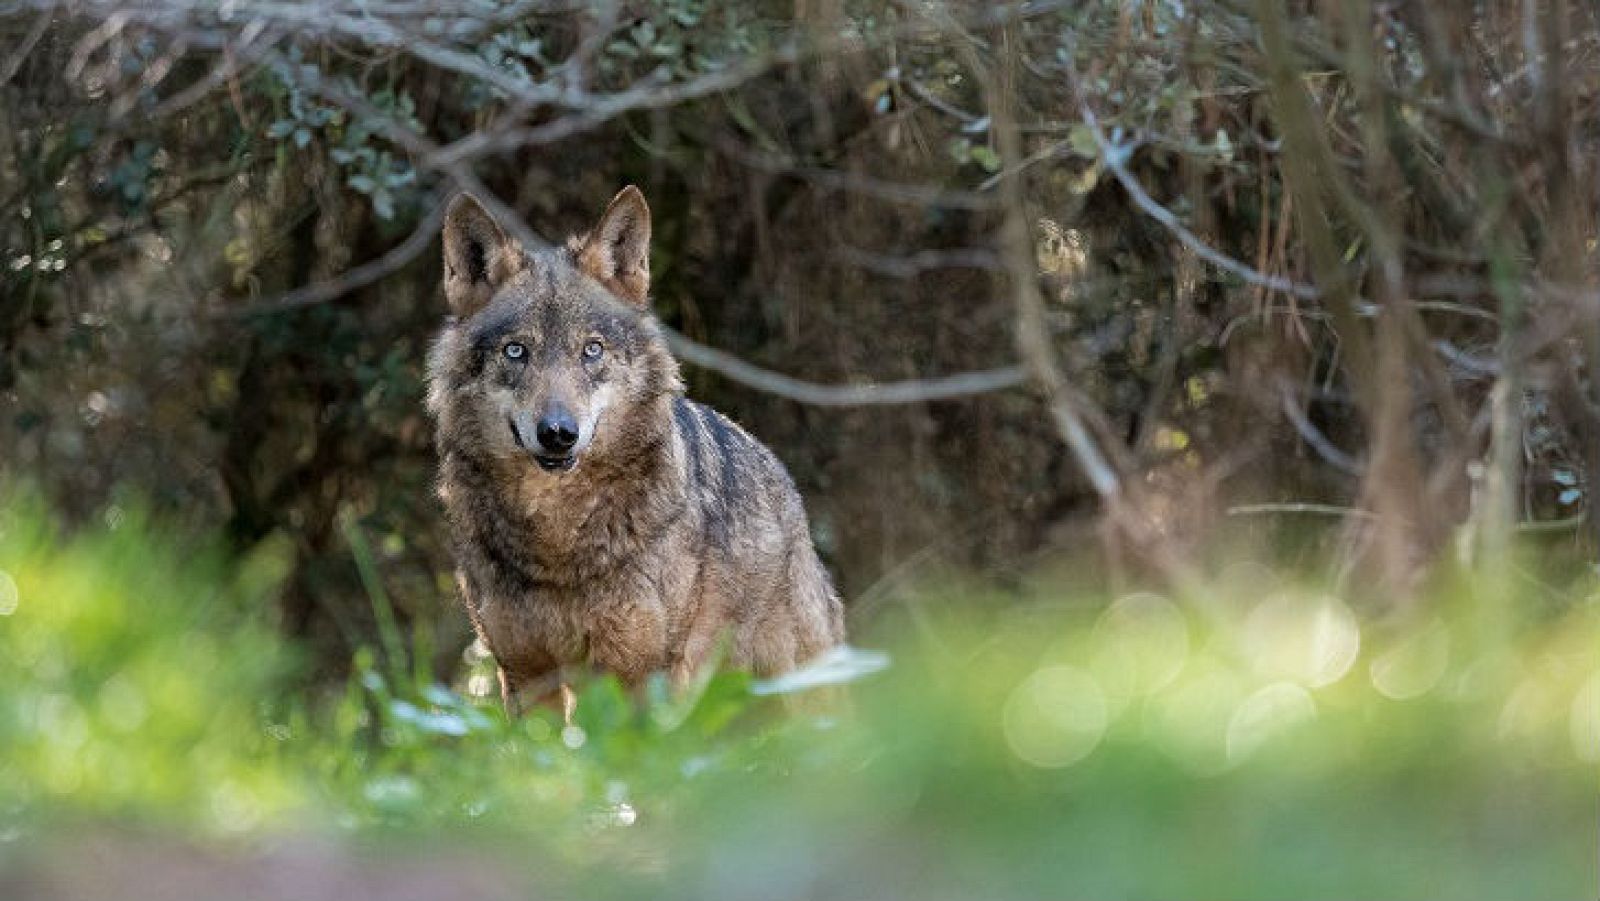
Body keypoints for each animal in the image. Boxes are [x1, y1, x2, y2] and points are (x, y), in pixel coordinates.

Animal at [426, 185, 845, 715]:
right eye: (516, 351)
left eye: (592, 350)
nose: (558, 432)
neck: (557, 540)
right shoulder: (525, 674)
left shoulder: (642, 671)